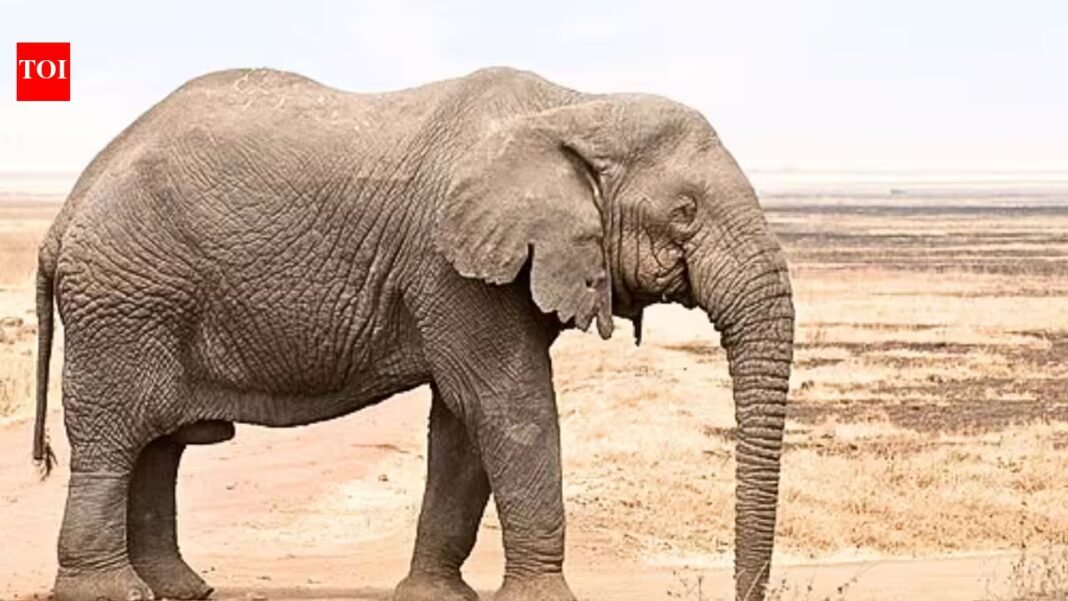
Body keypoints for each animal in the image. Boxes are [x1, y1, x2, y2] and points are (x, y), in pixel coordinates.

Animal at [32, 67, 794, 601]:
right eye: (685, 212)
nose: (739, 592)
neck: (574, 104)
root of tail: (66, 211)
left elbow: (463, 422)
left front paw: (435, 594)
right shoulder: (450, 263)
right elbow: (508, 405)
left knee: (159, 444)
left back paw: (179, 589)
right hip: (125, 299)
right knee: (116, 436)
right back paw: (113, 591)